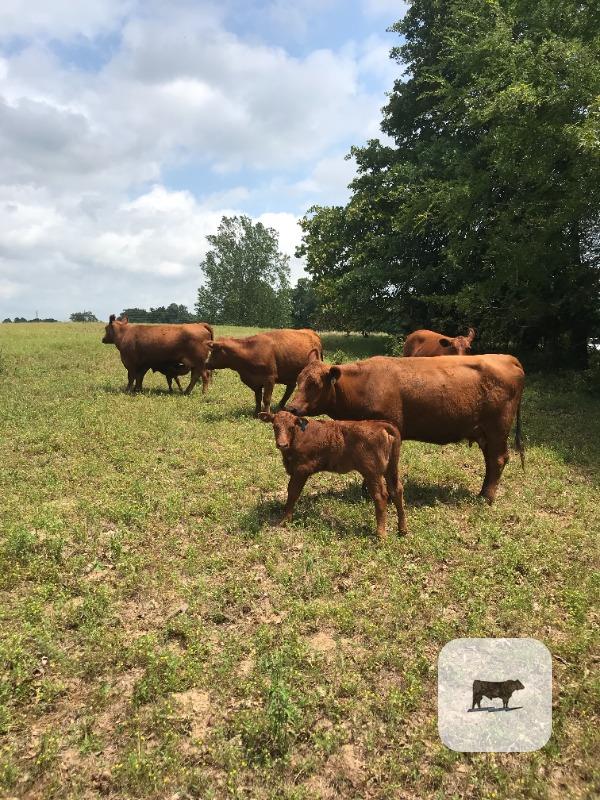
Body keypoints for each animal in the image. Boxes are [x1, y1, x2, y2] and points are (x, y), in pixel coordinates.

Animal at [259, 411, 407, 538]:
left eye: (291, 427)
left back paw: (381, 534)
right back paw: (402, 530)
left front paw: (284, 520)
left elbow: (293, 493)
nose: (282, 444)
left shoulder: (301, 470)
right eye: (275, 426)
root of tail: (380, 424)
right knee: (397, 490)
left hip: (372, 472)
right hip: (391, 468)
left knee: (380, 496)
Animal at [286, 352, 525, 504]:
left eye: (315, 384)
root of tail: (507, 358)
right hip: (485, 433)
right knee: (491, 461)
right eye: (298, 380)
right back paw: (483, 491)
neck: (362, 386)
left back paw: (486, 497)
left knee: (498, 460)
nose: (291, 407)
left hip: (497, 429)